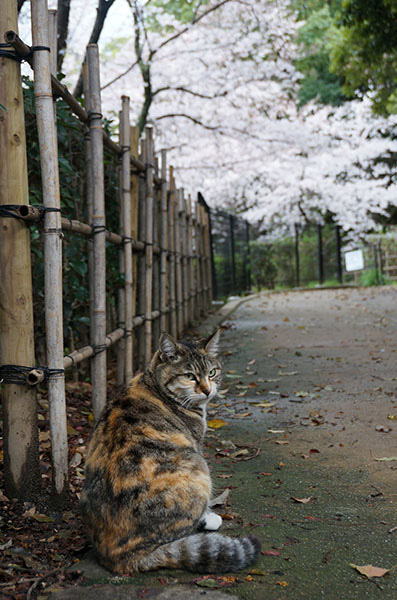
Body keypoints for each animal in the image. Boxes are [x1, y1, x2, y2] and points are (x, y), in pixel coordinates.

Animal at [80, 330, 260, 576]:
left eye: (212, 372)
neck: (152, 384)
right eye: (189, 376)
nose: (207, 390)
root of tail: (121, 557)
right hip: (197, 468)